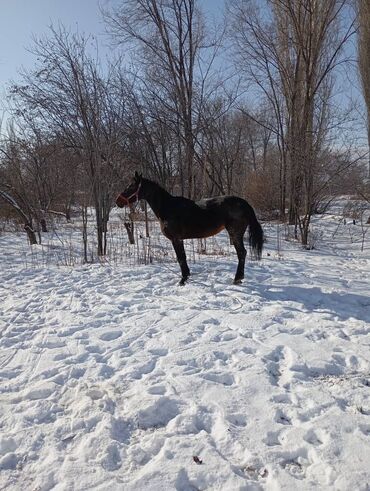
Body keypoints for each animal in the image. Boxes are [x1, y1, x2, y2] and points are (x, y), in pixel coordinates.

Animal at [115, 174, 264, 286]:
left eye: (130, 186)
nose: (118, 201)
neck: (168, 207)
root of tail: (243, 203)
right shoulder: (178, 239)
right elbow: (182, 258)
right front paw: (186, 277)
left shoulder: (176, 239)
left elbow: (181, 258)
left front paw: (183, 279)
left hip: (235, 233)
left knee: (242, 253)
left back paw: (237, 278)